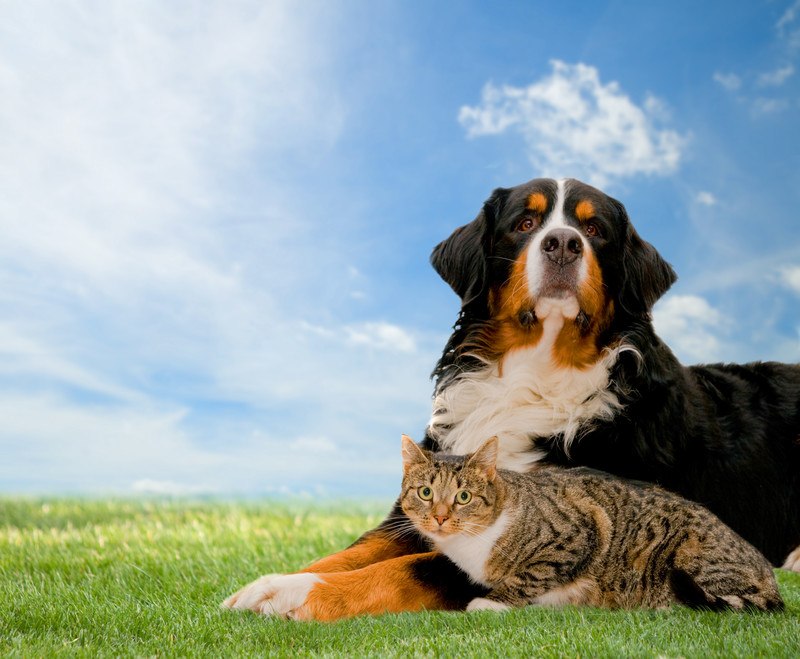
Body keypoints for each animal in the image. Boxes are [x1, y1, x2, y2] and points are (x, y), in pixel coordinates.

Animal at [398, 436, 780, 612]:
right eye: (426, 492)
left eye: (463, 497)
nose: (441, 517)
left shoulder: (578, 529)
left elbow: (531, 574)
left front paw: (493, 602)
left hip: (692, 552)